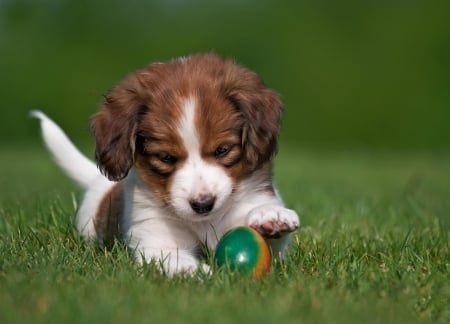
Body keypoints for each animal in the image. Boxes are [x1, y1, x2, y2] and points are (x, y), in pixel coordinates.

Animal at [31, 52, 298, 274]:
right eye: (166, 158)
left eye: (222, 150)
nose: (203, 204)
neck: (204, 223)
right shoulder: (155, 240)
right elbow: (174, 259)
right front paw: (202, 274)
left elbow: (271, 244)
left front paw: (271, 217)